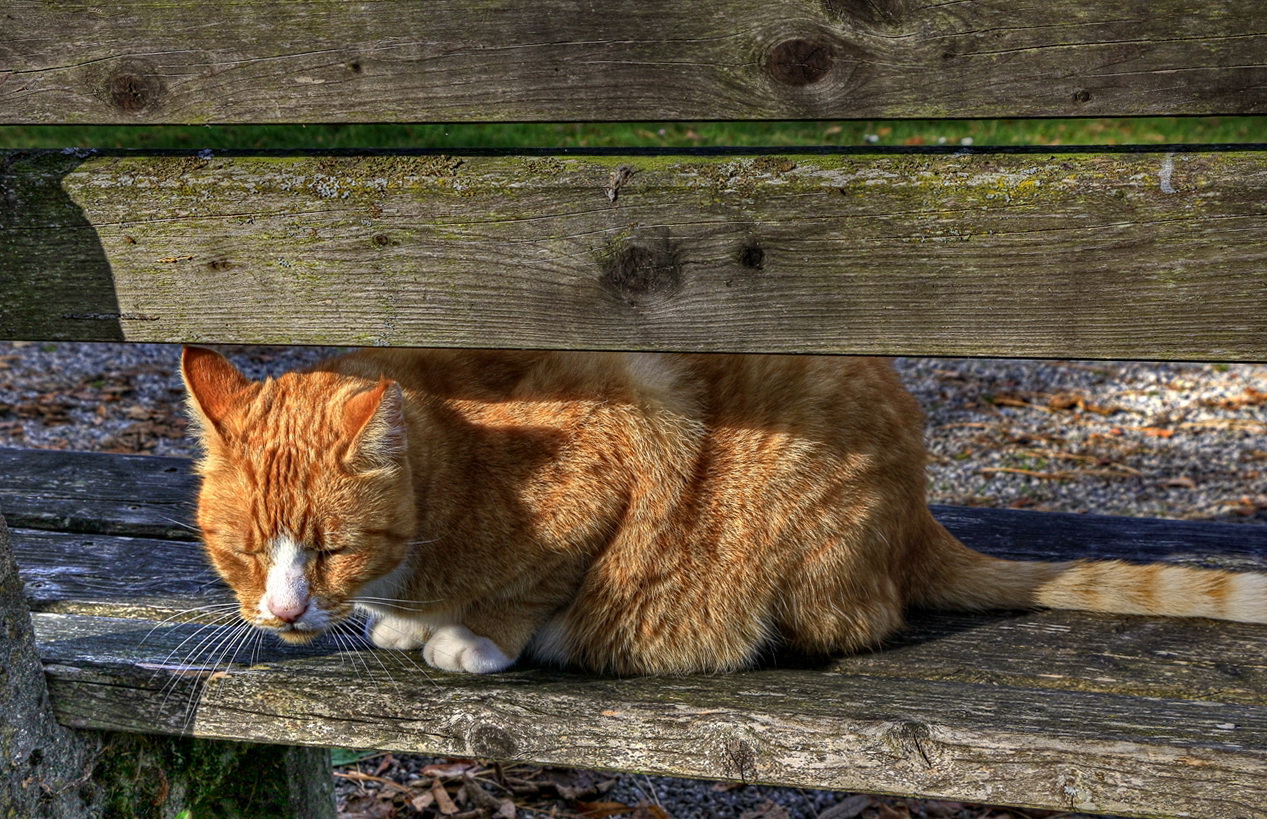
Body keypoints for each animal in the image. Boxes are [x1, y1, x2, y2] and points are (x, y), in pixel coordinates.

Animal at [181, 347, 1267, 674]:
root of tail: (918, 512)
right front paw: (410, 621)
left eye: (328, 550)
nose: (282, 613)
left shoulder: (621, 446)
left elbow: (538, 584)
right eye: (243, 553)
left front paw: (472, 634)